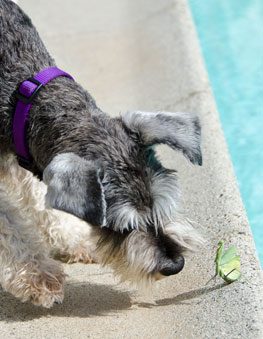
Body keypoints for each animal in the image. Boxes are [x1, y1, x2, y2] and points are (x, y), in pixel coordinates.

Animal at [0, 0, 203, 308]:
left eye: (163, 205)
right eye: (121, 226)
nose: (174, 265)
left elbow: (39, 196)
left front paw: (74, 238)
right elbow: (8, 224)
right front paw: (38, 275)